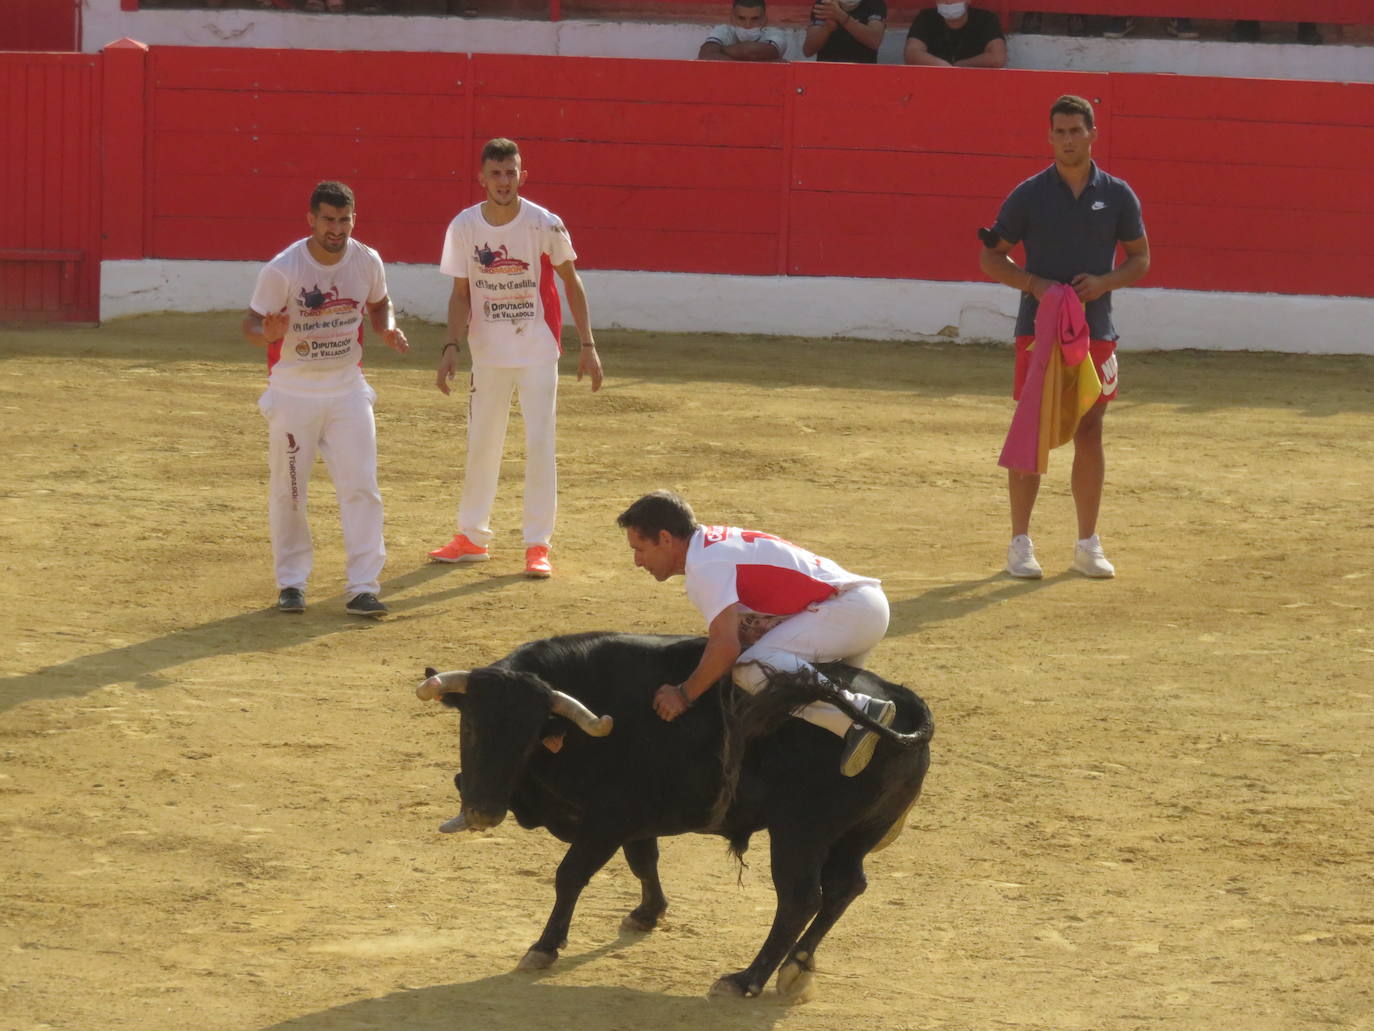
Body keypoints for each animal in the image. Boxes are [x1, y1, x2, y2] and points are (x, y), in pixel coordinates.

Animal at [417, 629, 934, 1000]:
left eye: (530, 735)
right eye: (470, 726)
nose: (482, 812)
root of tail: (902, 703)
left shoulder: (606, 820)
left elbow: (570, 876)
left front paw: (543, 947)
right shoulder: (634, 822)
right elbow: (644, 862)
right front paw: (648, 914)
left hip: (799, 834)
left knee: (800, 899)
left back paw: (747, 979)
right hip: (856, 835)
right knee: (846, 888)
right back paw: (797, 967)